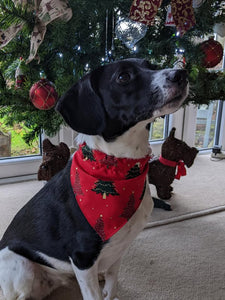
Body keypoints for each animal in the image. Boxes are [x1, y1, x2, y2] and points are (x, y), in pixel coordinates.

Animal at [0, 57, 188, 298]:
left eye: (152, 65)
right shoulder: (83, 257)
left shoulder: (118, 250)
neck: (119, 168)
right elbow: (94, 294)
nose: (182, 74)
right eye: (123, 77)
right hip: (21, 267)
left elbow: (112, 283)